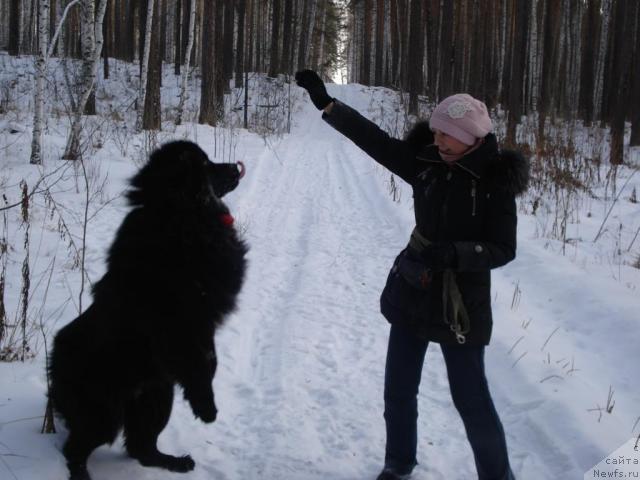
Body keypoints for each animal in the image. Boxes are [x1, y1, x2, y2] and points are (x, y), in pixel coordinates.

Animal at [48, 142, 249, 480]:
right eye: (207, 165)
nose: (236, 166)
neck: (182, 219)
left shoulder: (200, 325)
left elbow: (209, 358)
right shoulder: (178, 323)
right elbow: (201, 363)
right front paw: (206, 406)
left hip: (157, 395)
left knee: (141, 447)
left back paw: (175, 462)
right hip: (103, 412)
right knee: (74, 449)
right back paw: (82, 474)